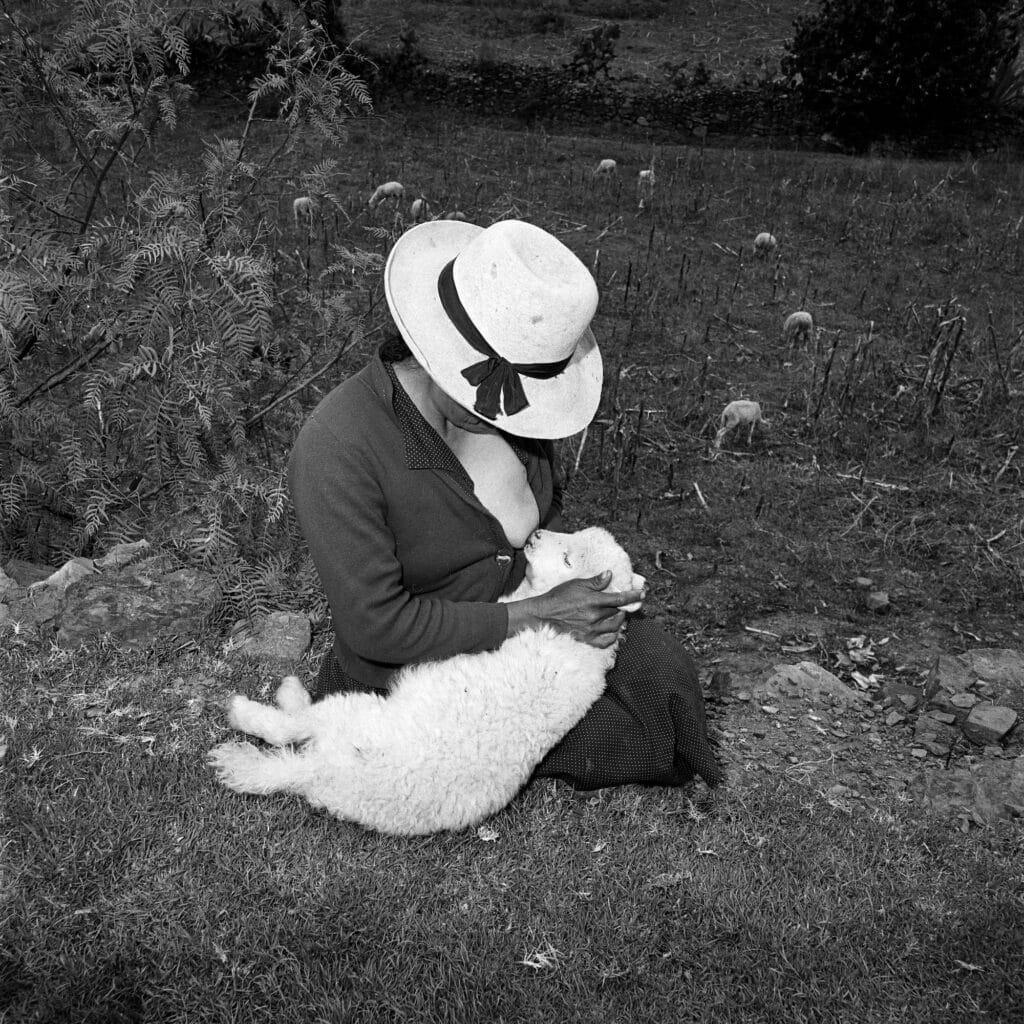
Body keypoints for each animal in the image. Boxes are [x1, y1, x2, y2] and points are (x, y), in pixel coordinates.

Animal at [207, 524, 643, 835]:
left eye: (568, 559)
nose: (534, 536)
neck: (574, 644)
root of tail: (326, 771)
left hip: (353, 713)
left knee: (290, 730)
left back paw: (255, 720)